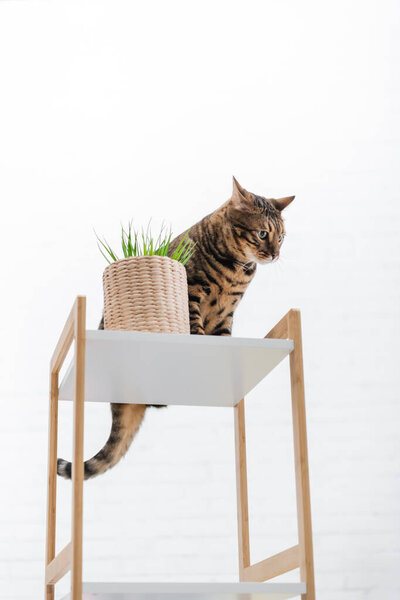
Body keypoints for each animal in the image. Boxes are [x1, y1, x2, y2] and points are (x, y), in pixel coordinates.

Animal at [57, 177, 294, 478]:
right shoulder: (191, 289)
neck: (237, 270)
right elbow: (196, 326)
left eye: (281, 237)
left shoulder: (227, 313)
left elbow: (224, 334)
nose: (276, 254)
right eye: (263, 234)